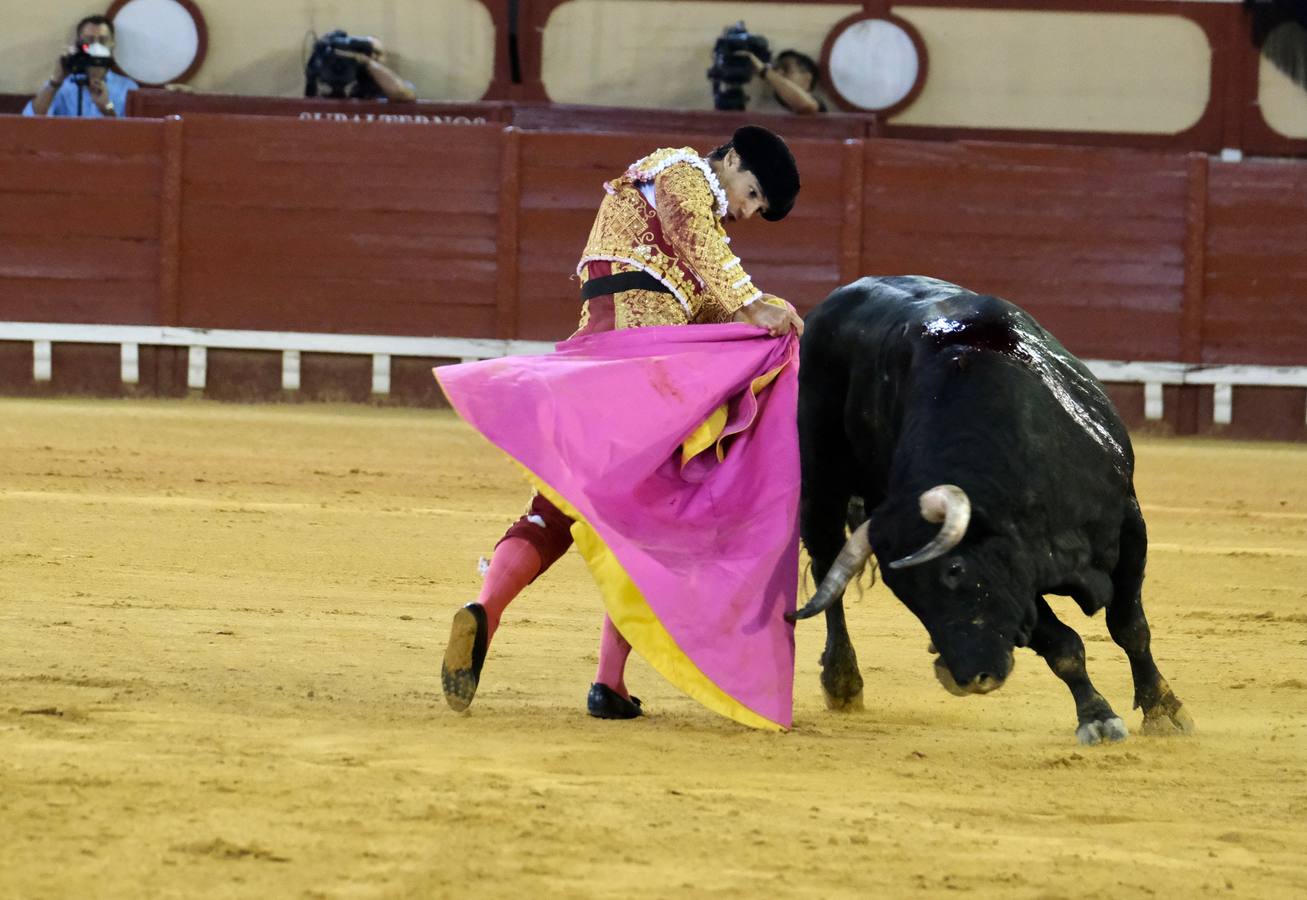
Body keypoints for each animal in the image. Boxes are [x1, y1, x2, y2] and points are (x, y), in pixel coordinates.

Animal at [784, 275, 1197, 741]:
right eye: (905, 594)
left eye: (954, 570)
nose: (972, 679)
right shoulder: (1019, 581)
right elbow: (1062, 645)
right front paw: (1096, 714)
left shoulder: (1128, 527)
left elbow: (1130, 628)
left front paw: (1163, 709)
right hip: (820, 483)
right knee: (826, 568)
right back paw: (843, 679)